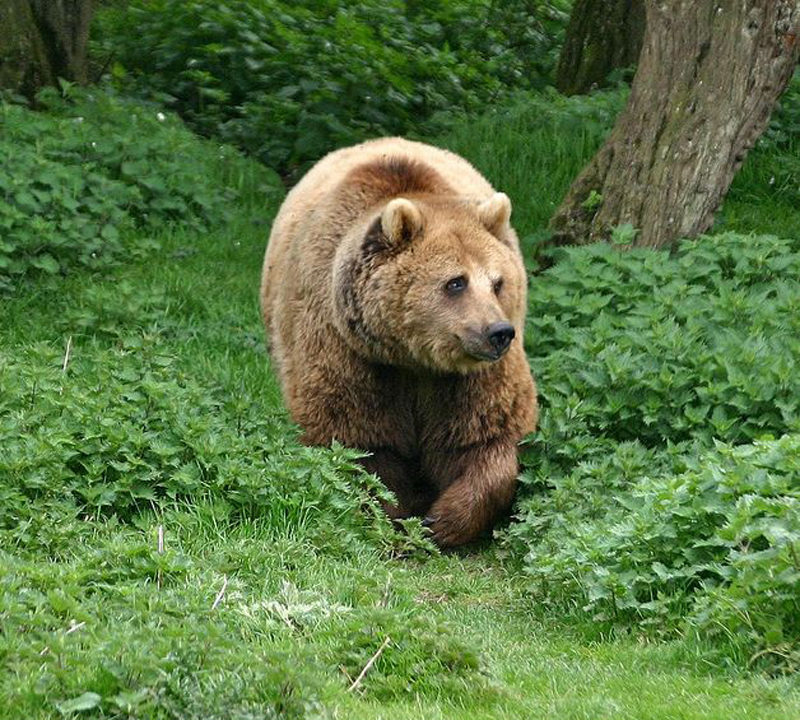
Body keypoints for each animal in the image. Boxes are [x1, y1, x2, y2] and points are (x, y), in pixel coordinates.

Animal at [260, 137, 537, 548]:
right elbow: (358, 441)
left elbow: (485, 438)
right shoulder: (350, 353)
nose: (498, 332)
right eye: (456, 282)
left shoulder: (468, 378)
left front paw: (443, 519)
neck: (412, 358)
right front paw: (395, 514)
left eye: (497, 282)